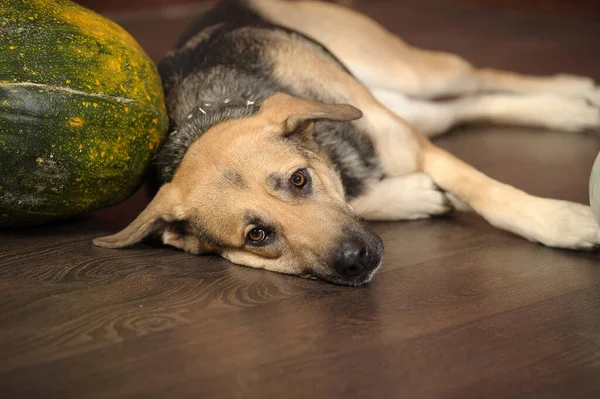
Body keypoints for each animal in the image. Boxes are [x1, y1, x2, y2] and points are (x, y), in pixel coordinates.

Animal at [91, 0, 596, 288]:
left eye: (299, 179)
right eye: (257, 235)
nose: (357, 262)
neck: (217, 108)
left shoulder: (413, 147)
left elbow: (489, 194)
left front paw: (565, 223)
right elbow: (371, 193)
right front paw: (414, 196)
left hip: (408, 72)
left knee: (480, 76)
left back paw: (577, 91)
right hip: (402, 104)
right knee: (469, 105)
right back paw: (572, 112)